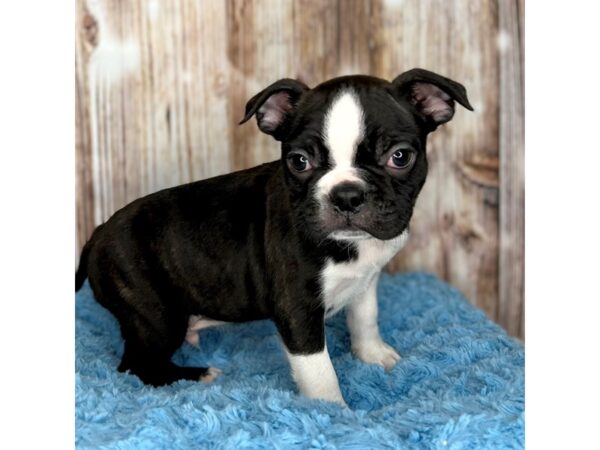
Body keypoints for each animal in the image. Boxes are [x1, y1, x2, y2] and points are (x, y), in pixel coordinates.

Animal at [75, 67, 472, 408]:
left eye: (400, 157)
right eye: (298, 161)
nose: (346, 195)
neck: (350, 247)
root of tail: (96, 234)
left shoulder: (366, 278)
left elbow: (365, 315)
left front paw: (372, 354)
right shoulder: (296, 308)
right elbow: (320, 371)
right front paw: (332, 413)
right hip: (156, 315)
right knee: (136, 366)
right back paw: (198, 375)